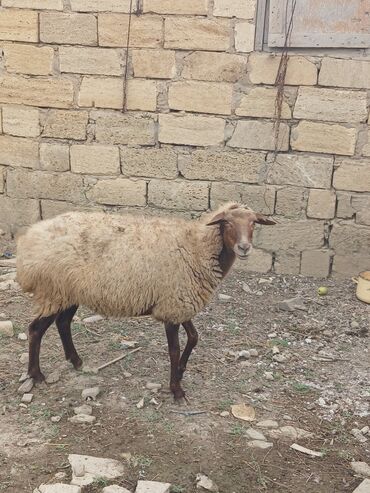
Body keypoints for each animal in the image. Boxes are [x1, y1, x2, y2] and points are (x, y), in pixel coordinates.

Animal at [16, 202, 274, 398]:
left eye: (253, 223)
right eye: (227, 223)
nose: (244, 247)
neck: (197, 247)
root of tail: (29, 241)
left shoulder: (179, 303)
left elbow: (194, 338)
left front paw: (181, 371)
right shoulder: (173, 306)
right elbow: (174, 349)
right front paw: (176, 389)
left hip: (68, 292)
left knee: (63, 323)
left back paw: (76, 361)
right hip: (53, 291)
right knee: (36, 330)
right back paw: (36, 375)